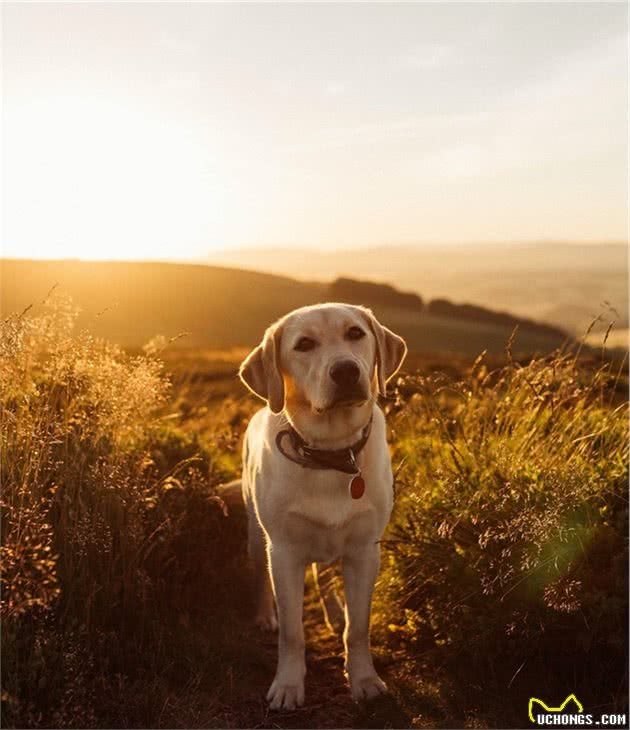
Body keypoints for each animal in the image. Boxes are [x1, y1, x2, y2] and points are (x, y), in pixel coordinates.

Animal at [239, 300, 408, 704]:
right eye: (304, 344)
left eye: (355, 333)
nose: (346, 370)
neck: (332, 453)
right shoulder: (284, 551)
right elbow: (292, 632)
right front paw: (287, 685)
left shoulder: (365, 550)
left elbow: (358, 628)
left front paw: (364, 679)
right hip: (256, 535)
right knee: (261, 577)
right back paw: (264, 616)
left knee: (325, 575)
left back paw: (333, 612)